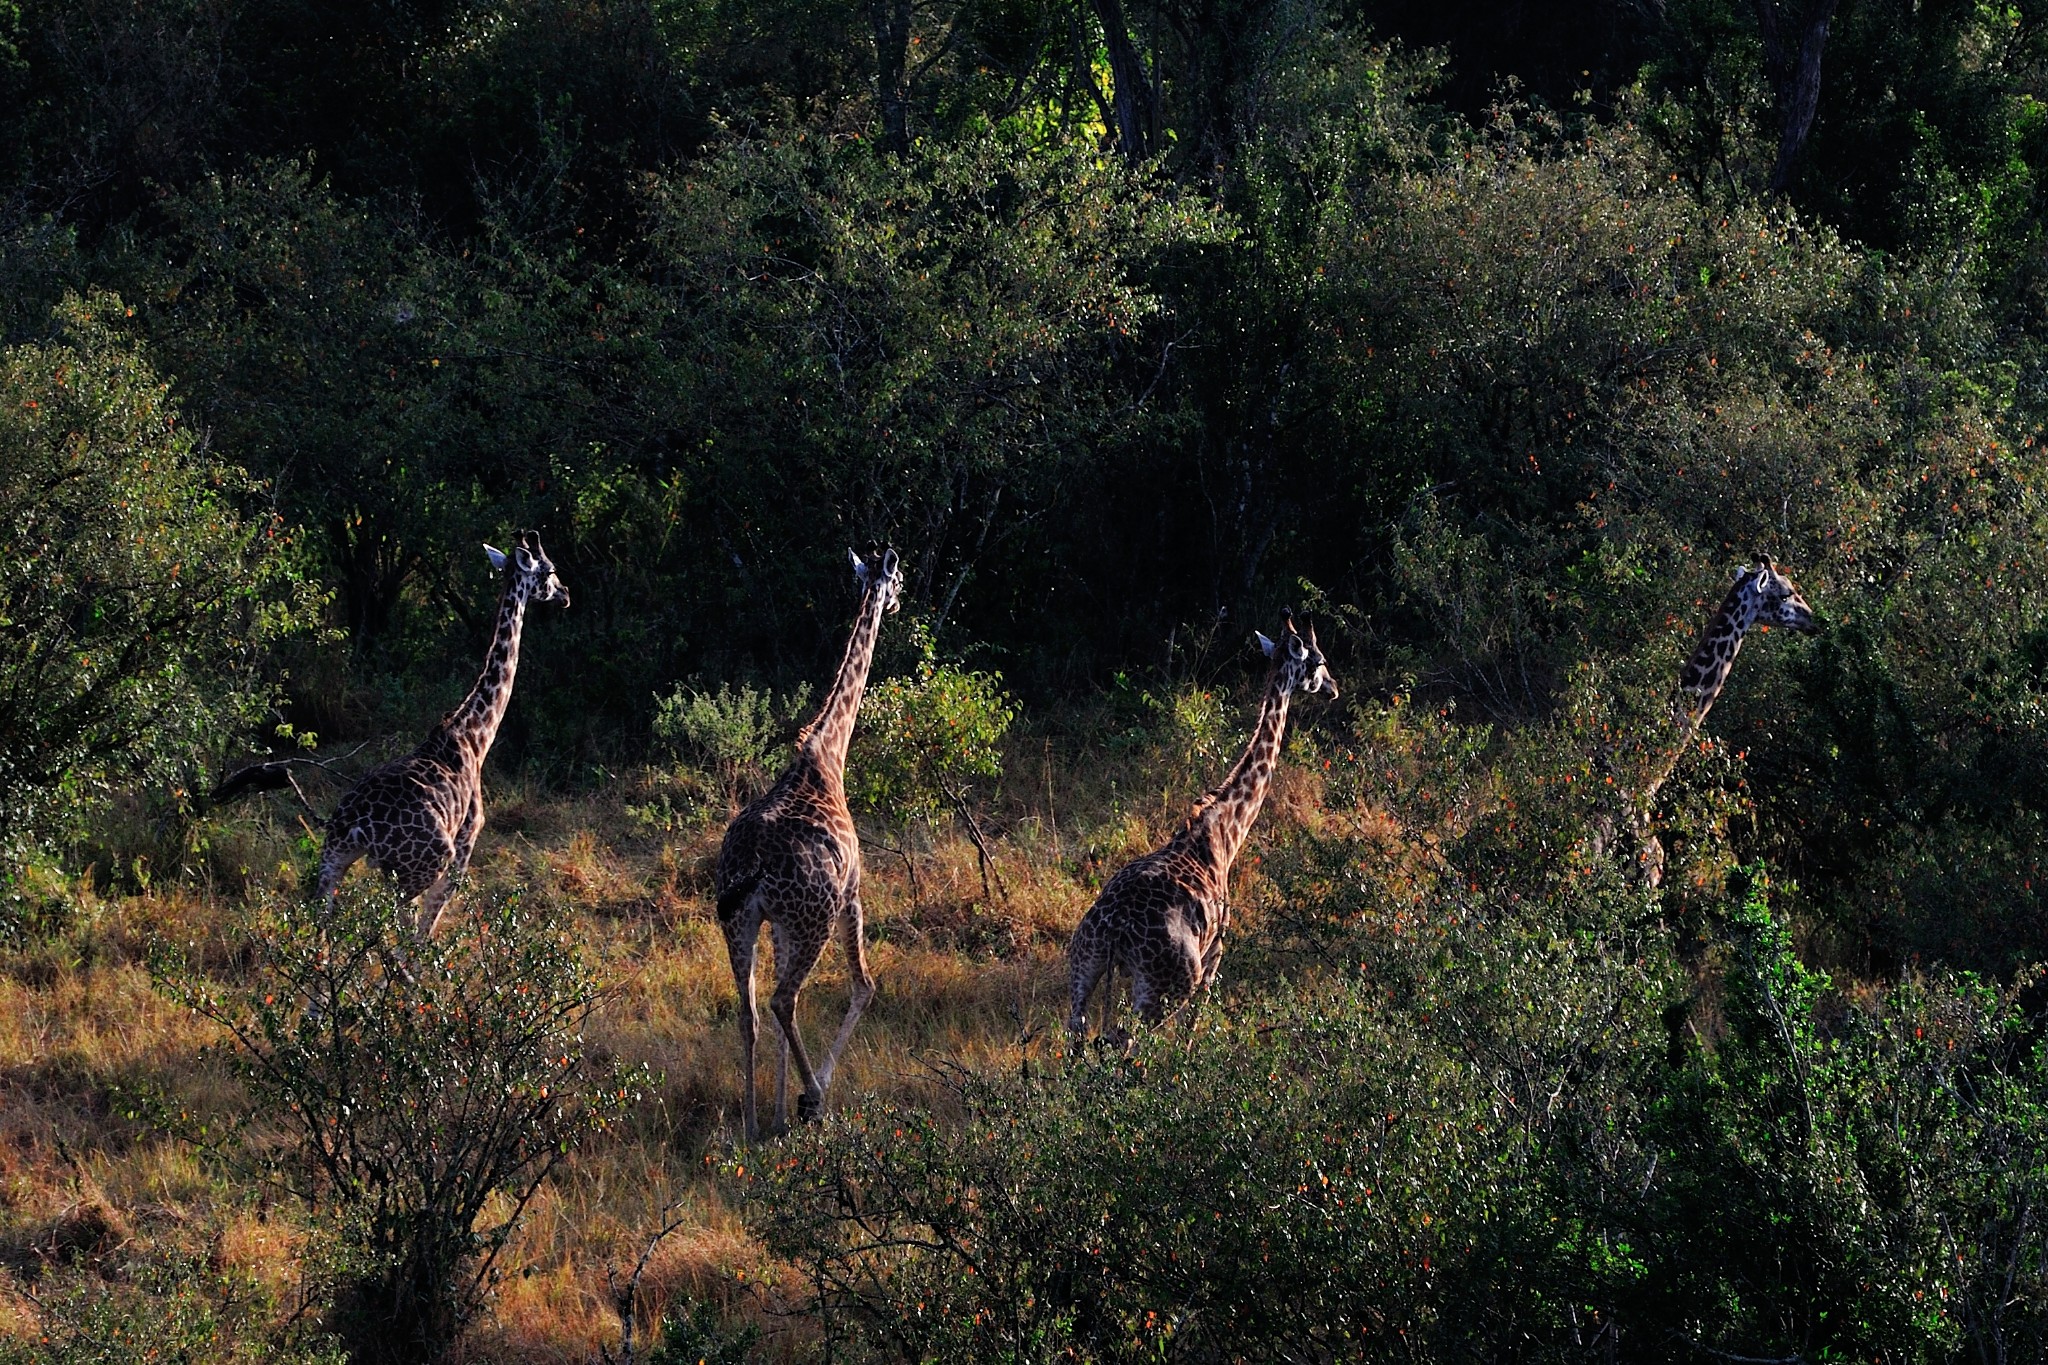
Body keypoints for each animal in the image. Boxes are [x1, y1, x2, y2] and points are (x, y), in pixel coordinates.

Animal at [311, 532, 569, 941]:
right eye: (550, 570)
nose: (566, 594)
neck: (476, 734)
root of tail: (356, 825)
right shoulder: (467, 838)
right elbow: (429, 923)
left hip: (332, 858)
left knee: (319, 922)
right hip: (419, 866)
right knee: (397, 934)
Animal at [716, 548, 901, 1146]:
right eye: (895, 578)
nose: (895, 597)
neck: (828, 754)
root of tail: (750, 864)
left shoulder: (776, 921)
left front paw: (775, 1115)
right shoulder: (853, 894)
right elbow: (865, 987)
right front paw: (804, 1098)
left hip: (742, 921)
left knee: (751, 1011)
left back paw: (753, 1122)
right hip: (813, 918)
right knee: (784, 998)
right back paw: (812, 1101)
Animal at [1064, 613, 1335, 1039]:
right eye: (1319, 661)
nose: (1333, 688)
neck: (1227, 826)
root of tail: (1115, 930)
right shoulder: (1214, 956)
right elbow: (1191, 1033)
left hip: (1083, 966)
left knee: (1078, 1035)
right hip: (1166, 985)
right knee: (1126, 1043)